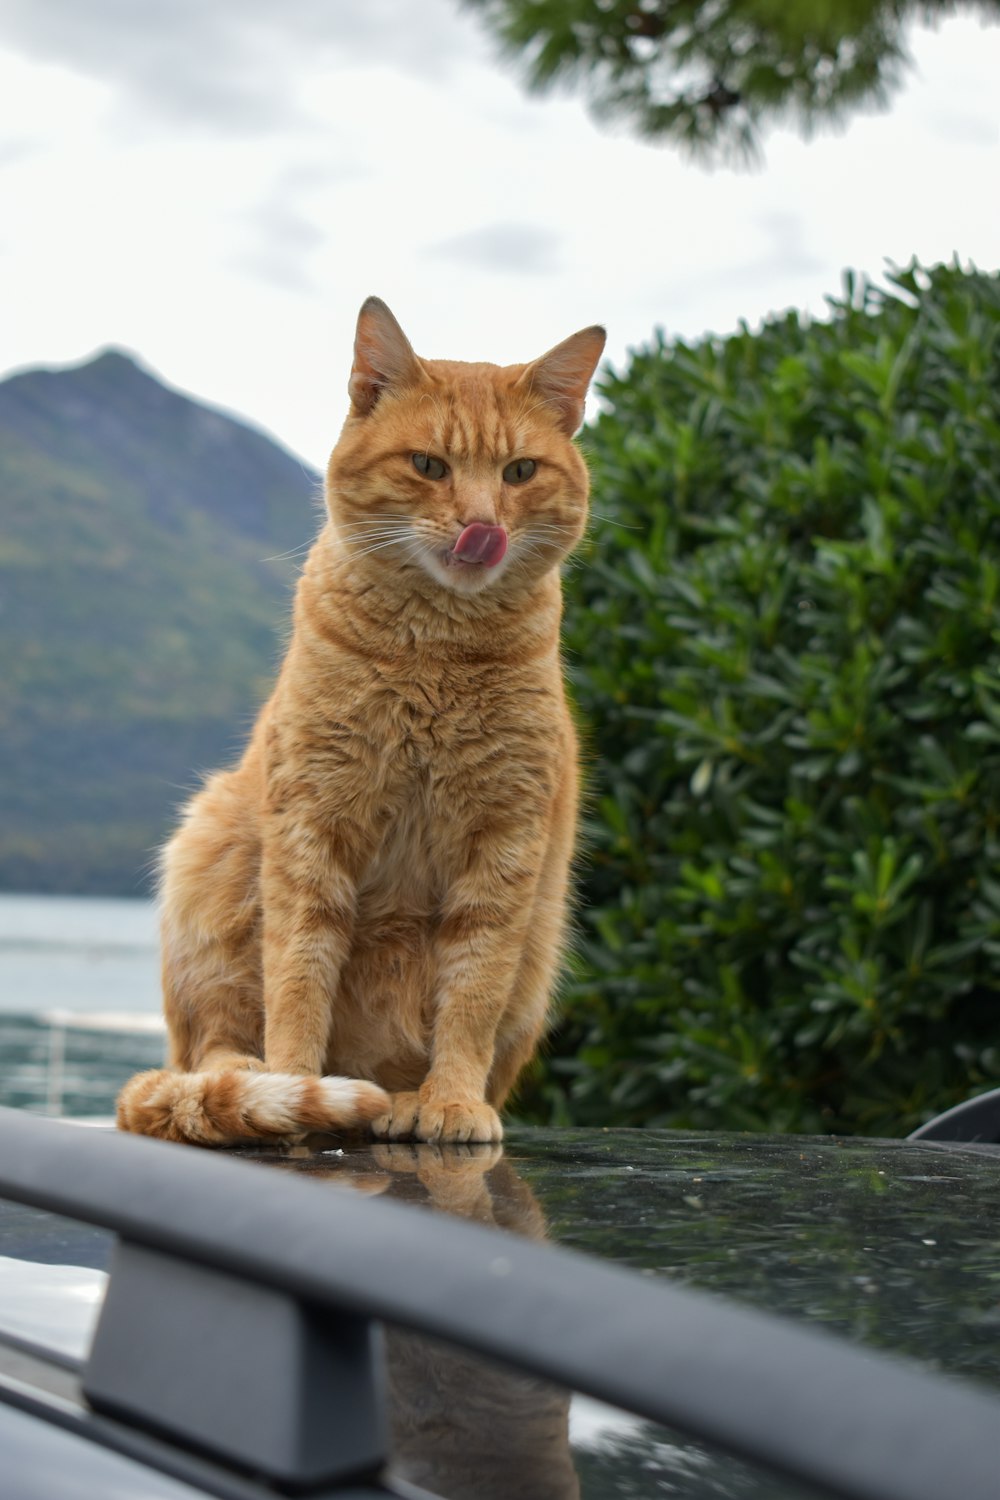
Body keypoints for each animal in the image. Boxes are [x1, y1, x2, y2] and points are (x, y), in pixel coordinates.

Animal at [117, 301, 602, 1146]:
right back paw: (250, 1077)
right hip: (207, 854)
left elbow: (473, 991)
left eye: (519, 473)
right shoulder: (311, 826)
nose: (481, 524)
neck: (436, 650)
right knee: (207, 1047)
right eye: (429, 466)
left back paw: (406, 1099)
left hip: (542, 948)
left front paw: (450, 1098)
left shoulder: (505, 847)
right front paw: (293, 1084)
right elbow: (298, 975)